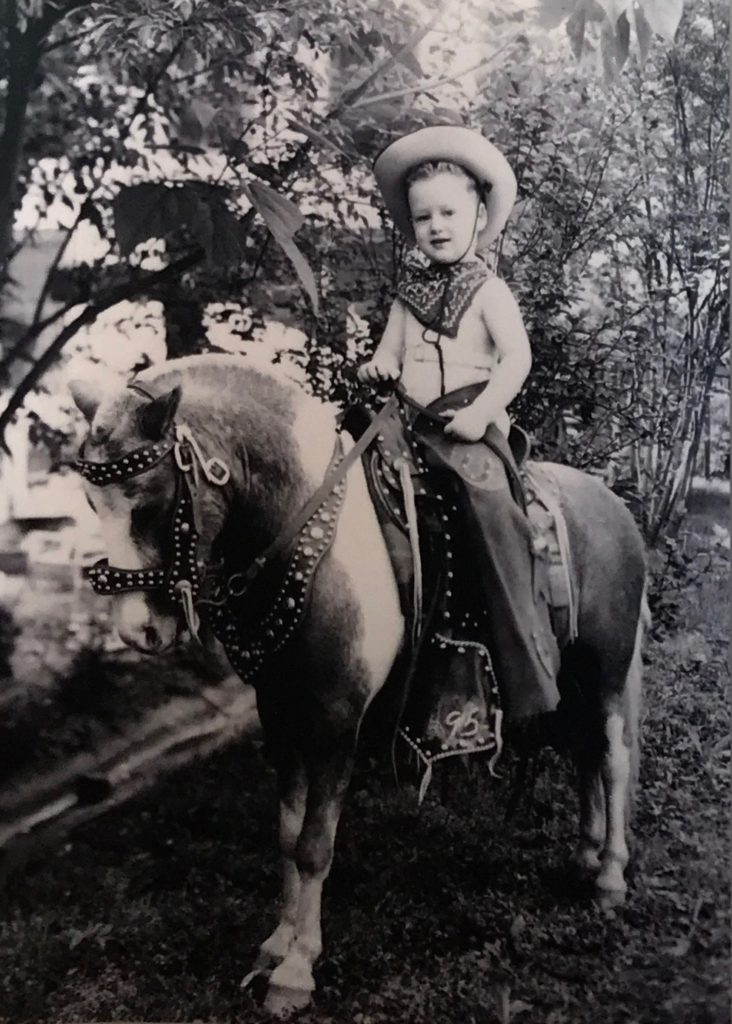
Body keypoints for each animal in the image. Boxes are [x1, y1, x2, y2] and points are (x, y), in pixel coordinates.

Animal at [70, 354, 647, 1016]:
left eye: (151, 502)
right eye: (91, 504)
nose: (137, 630)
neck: (312, 538)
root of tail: (613, 503)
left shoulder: (335, 722)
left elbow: (315, 845)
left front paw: (296, 971)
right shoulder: (282, 716)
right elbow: (287, 834)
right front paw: (276, 944)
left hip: (605, 671)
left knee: (612, 759)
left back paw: (609, 876)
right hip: (574, 677)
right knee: (584, 754)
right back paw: (584, 854)